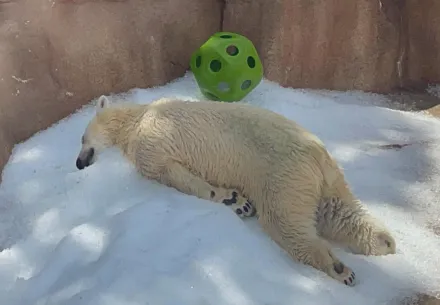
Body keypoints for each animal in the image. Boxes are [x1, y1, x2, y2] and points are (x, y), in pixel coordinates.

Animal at [75, 96, 396, 286]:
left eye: (81, 139)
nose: (78, 163)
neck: (137, 116)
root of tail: (317, 153)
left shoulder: (151, 140)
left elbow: (173, 174)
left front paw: (235, 200)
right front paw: (237, 200)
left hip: (282, 175)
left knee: (285, 222)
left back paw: (339, 268)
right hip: (322, 179)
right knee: (338, 211)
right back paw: (384, 242)